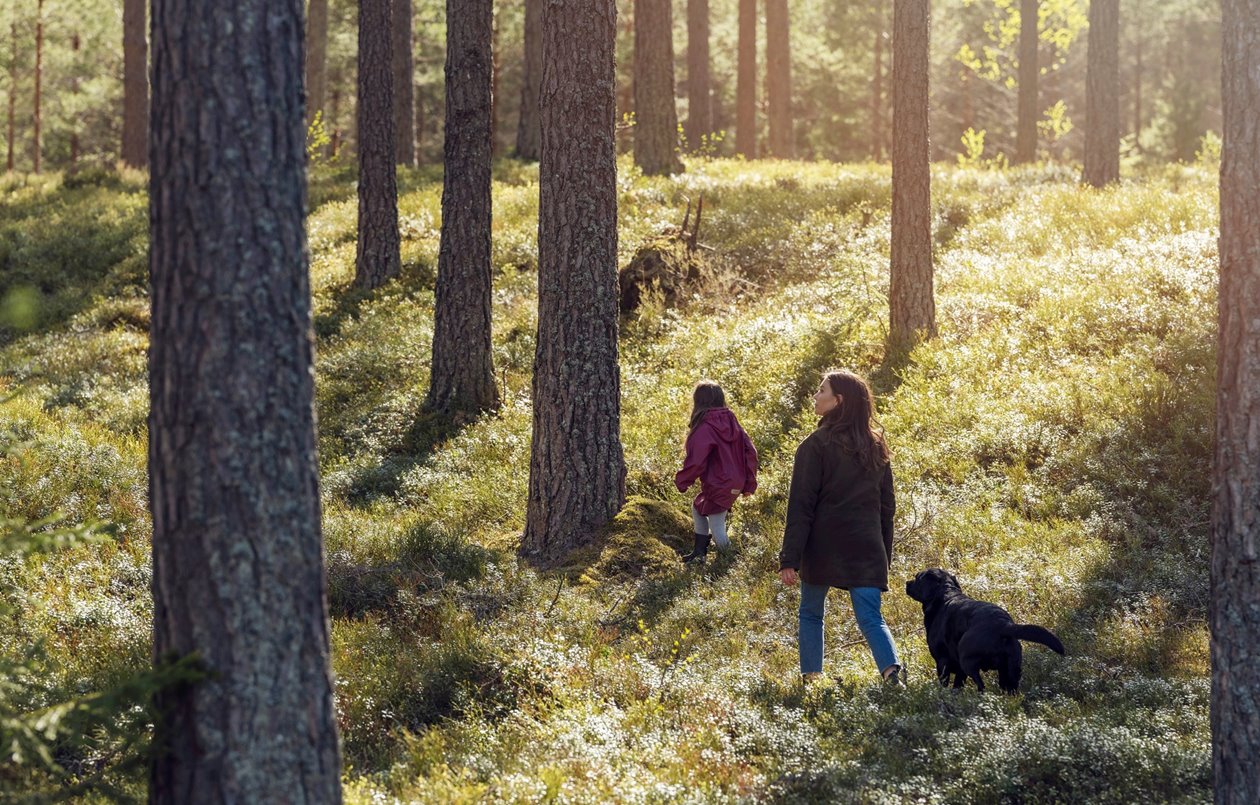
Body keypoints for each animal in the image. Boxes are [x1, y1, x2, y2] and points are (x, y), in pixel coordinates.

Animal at [907, 566, 1063, 695]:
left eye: (917, 577)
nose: (907, 583)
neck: (945, 594)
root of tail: (1003, 624)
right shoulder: (959, 671)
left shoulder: (942, 662)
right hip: (1010, 671)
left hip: (968, 661)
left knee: (981, 686)